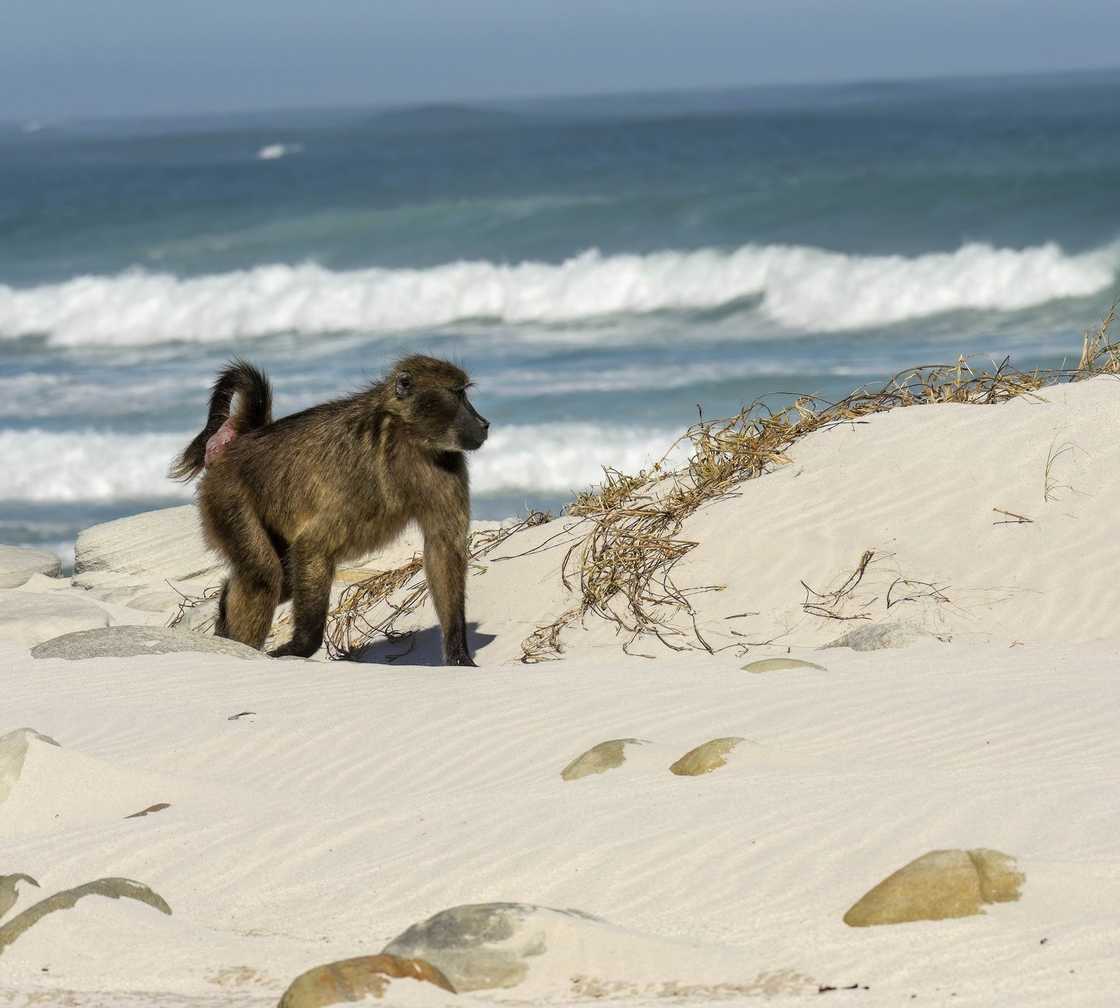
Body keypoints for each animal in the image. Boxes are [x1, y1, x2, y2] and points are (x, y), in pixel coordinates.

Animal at [170, 355, 489, 664]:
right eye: (458, 394)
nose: (484, 424)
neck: (407, 435)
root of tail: (236, 446)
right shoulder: (359, 476)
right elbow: (312, 545)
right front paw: (297, 648)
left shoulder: (447, 465)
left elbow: (443, 548)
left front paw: (460, 656)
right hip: (228, 496)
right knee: (264, 575)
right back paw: (240, 650)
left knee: (278, 581)